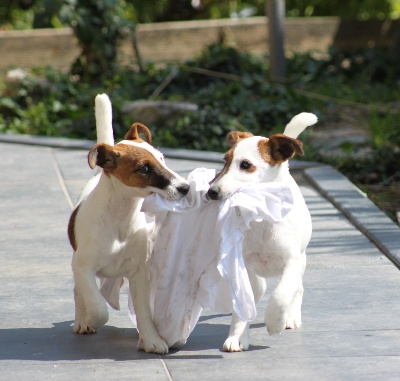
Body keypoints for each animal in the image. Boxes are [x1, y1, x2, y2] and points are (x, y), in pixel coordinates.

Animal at [67, 94, 189, 354]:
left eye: (162, 158)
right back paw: (82, 319)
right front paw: (90, 319)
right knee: (79, 292)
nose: (185, 188)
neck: (119, 217)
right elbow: (99, 308)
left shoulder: (139, 272)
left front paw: (151, 339)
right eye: (144, 168)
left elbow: (144, 312)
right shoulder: (83, 267)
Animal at [208, 112, 318, 350]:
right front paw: (238, 335)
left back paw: (291, 316)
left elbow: (281, 294)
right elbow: (246, 302)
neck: (263, 218)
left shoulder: (292, 262)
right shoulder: (244, 263)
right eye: (225, 160)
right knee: (261, 288)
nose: (211, 192)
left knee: (297, 289)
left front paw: (275, 321)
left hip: (301, 262)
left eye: (246, 165)